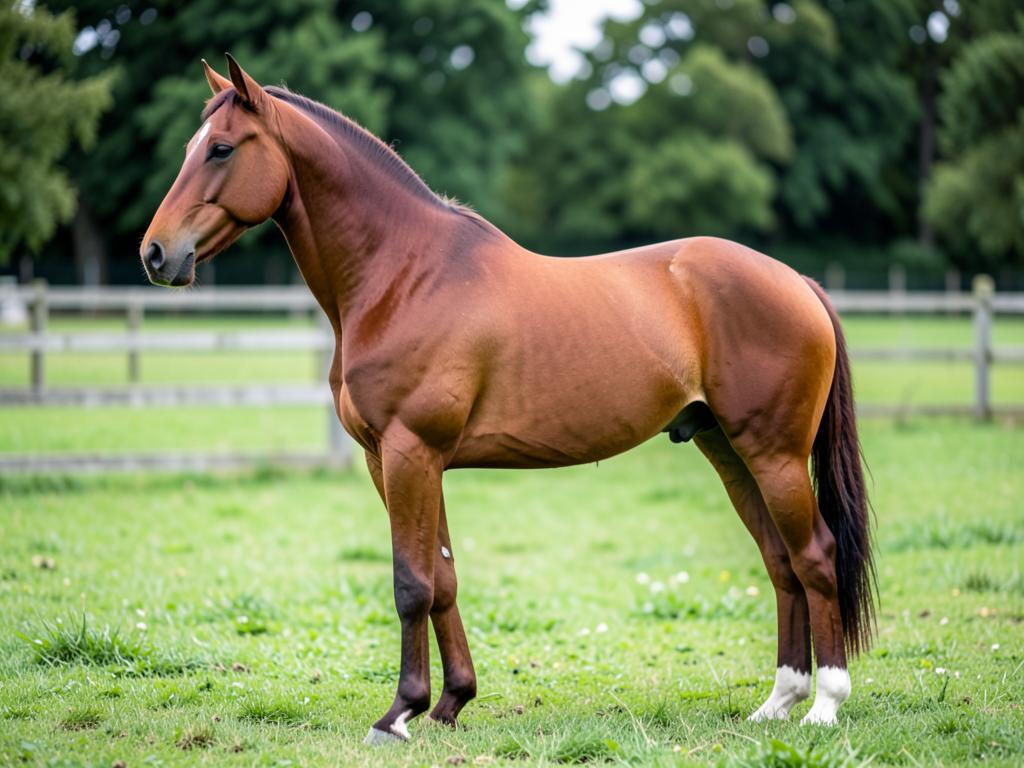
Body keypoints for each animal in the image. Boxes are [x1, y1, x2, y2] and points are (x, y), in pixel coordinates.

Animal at [141, 56, 875, 743]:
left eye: (221, 149)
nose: (155, 254)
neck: (404, 275)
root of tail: (797, 282)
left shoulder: (410, 452)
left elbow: (411, 584)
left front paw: (398, 713)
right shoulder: (401, 460)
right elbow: (442, 579)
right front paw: (449, 704)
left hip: (775, 454)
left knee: (814, 557)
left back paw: (824, 706)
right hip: (728, 450)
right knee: (780, 562)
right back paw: (778, 702)